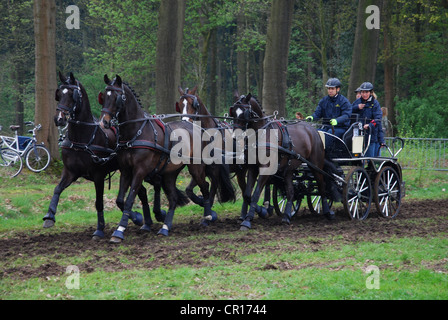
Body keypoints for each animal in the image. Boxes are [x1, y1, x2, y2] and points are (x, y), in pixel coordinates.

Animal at [42, 72, 161, 238]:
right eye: (59, 94)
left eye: (73, 95)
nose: (59, 118)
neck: (82, 139)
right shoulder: (70, 172)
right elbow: (57, 189)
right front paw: (49, 216)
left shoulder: (98, 175)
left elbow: (99, 202)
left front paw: (99, 229)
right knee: (142, 192)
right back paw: (145, 222)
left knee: (147, 188)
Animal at [100, 75, 236, 242]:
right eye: (104, 97)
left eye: (117, 98)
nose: (104, 122)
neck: (136, 132)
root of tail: (198, 128)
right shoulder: (126, 170)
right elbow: (120, 200)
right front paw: (137, 219)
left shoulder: (140, 171)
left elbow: (130, 199)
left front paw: (119, 231)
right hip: (170, 172)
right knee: (173, 198)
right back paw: (165, 227)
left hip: (196, 167)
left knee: (205, 186)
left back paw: (208, 215)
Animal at [231, 93, 332, 230]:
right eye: (233, 112)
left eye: (244, 113)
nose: (235, 137)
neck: (262, 135)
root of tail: (312, 129)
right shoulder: (253, 168)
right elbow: (247, 194)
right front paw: (256, 214)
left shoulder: (266, 168)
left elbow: (256, 194)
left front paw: (248, 220)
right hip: (289, 170)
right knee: (291, 192)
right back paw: (287, 216)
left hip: (316, 165)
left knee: (321, 186)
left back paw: (327, 212)